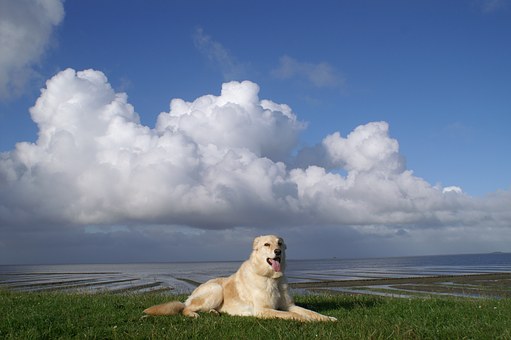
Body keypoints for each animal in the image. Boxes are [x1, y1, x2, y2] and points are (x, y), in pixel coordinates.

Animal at [143, 235, 336, 322]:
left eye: (280, 243)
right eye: (267, 244)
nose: (278, 252)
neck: (271, 278)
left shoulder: (289, 305)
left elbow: (309, 312)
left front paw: (327, 318)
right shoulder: (263, 310)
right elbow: (293, 316)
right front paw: (309, 321)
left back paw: (215, 312)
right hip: (216, 290)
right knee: (185, 308)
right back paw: (194, 314)